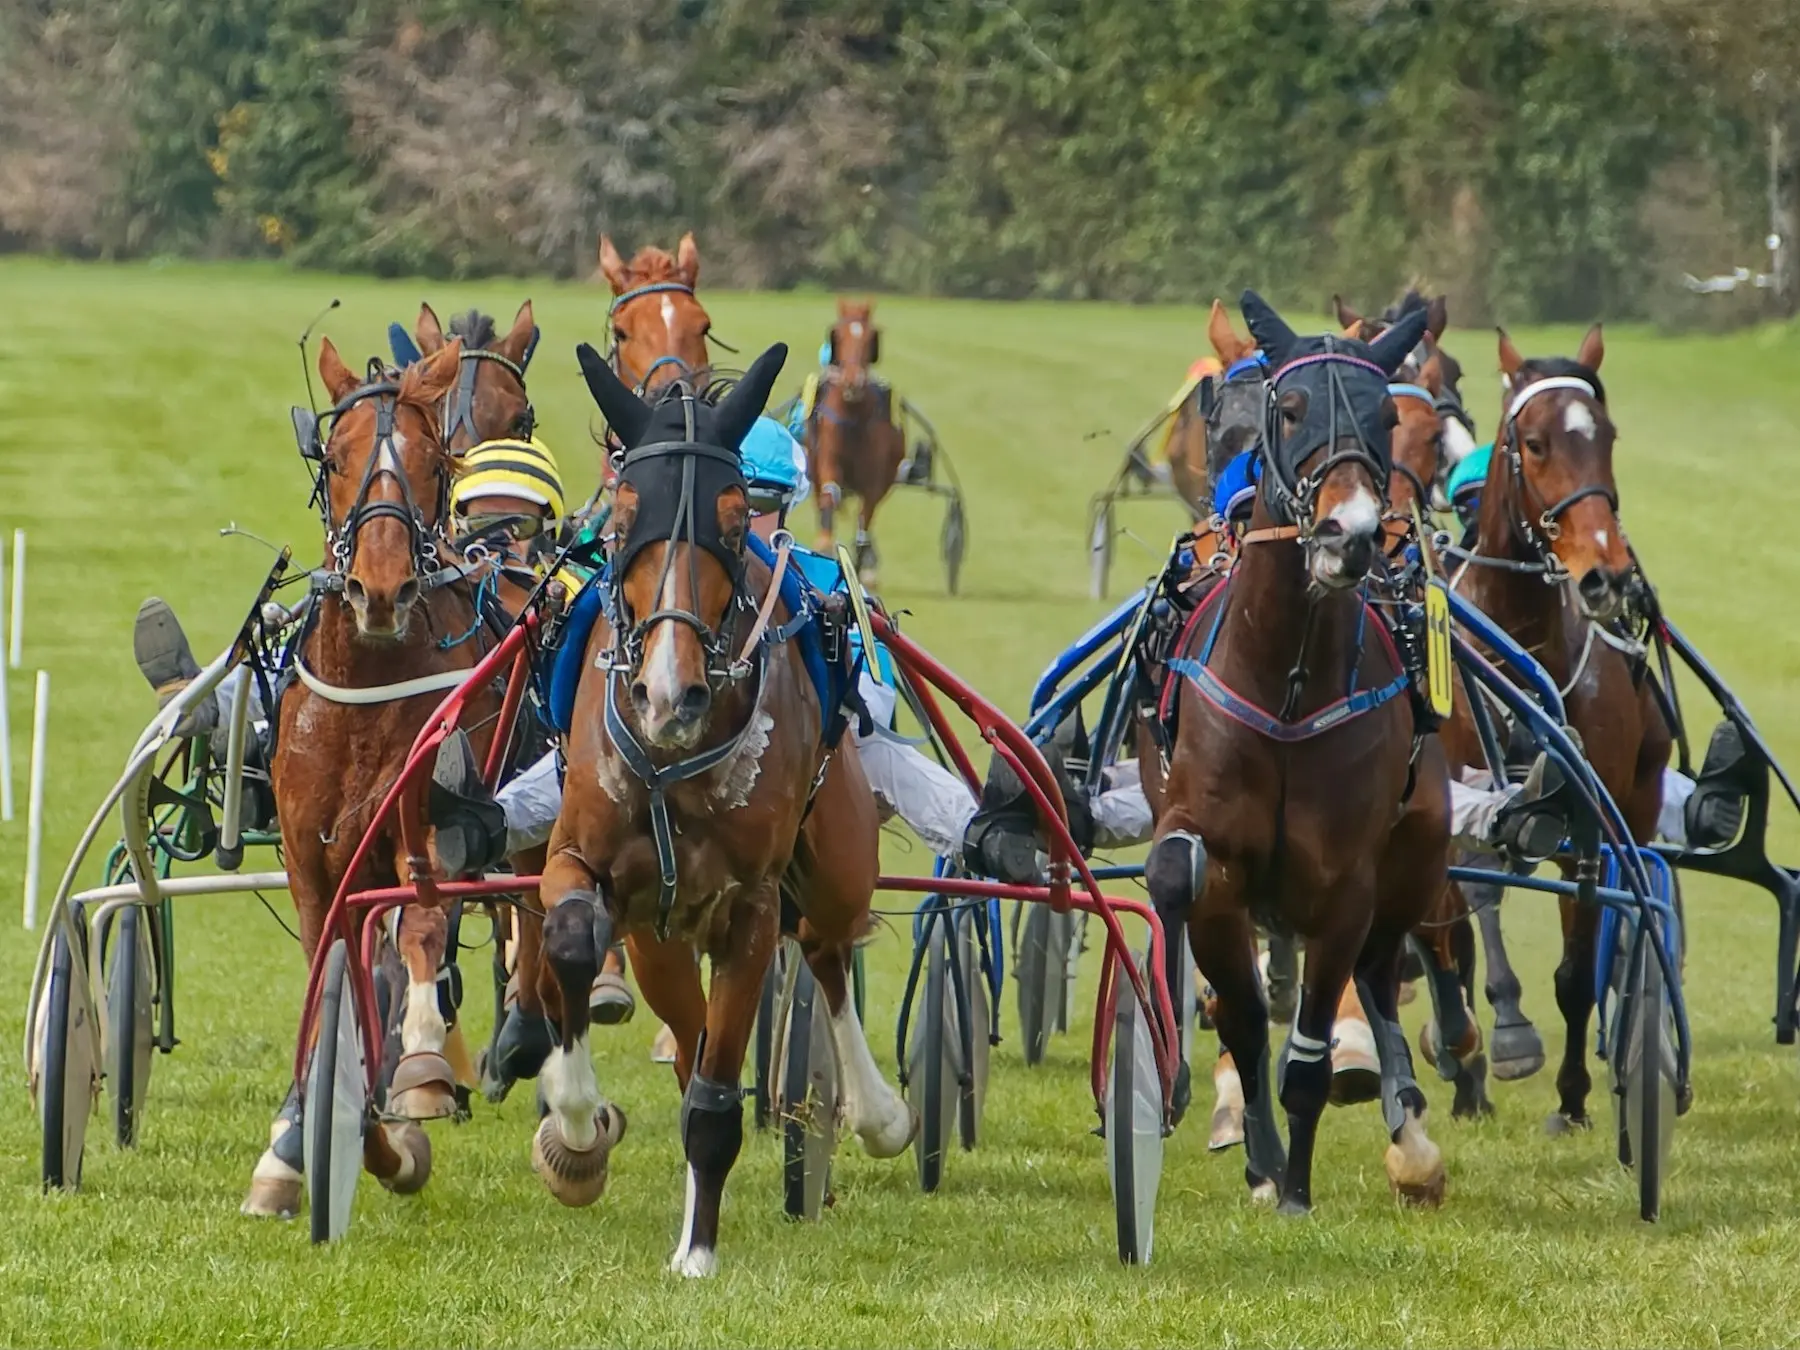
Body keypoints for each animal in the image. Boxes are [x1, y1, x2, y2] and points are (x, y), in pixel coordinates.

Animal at [244, 336, 500, 1216]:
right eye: (336, 458)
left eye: (433, 462)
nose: (381, 588)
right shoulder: (312, 860)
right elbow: (331, 969)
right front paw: (302, 1141)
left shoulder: (431, 825)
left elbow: (421, 927)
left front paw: (419, 1069)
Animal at [525, 338, 914, 1281]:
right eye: (624, 518)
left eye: (734, 522)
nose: (670, 695)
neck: (673, 760)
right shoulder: (585, 863)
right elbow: (571, 938)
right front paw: (575, 1123)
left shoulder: (749, 905)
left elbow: (714, 1095)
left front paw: (696, 1252)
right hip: (659, 936)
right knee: (692, 1022)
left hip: (835, 860)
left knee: (827, 950)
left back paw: (877, 1113)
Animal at [806, 298, 907, 583]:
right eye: (837, 335)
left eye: (871, 337)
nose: (853, 381)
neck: (852, 418)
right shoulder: (827, 461)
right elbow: (830, 494)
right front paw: (824, 545)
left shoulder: (874, 478)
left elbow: (865, 518)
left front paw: (863, 564)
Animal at [1144, 295, 1454, 1216]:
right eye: (1289, 409)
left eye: (1386, 416)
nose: (1347, 534)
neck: (1286, 684)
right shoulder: (1214, 853)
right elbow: (1239, 1009)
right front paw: (1261, 1158)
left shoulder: (1345, 879)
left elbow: (1312, 1047)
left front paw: (1298, 1189)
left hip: (1416, 848)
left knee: (1385, 969)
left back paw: (1409, 1131)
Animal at [1432, 331, 1670, 1144]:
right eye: (1534, 444)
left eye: (1607, 437)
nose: (1606, 575)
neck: (1522, 644)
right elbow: (1468, 912)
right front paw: (1496, 1043)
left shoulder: (1589, 821)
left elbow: (1576, 968)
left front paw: (1570, 1097)